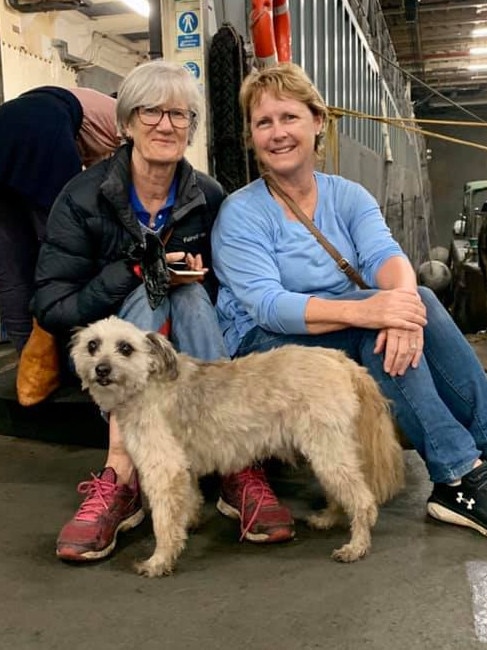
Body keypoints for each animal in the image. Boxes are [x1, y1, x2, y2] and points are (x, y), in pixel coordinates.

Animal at [70, 316, 406, 576]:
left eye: (125, 348)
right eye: (92, 345)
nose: (101, 369)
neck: (147, 384)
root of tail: (340, 360)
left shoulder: (164, 470)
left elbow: (163, 522)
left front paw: (160, 560)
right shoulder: (183, 467)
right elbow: (189, 500)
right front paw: (187, 525)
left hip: (327, 451)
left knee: (363, 501)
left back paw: (356, 546)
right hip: (327, 451)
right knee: (342, 493)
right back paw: (327, 518)